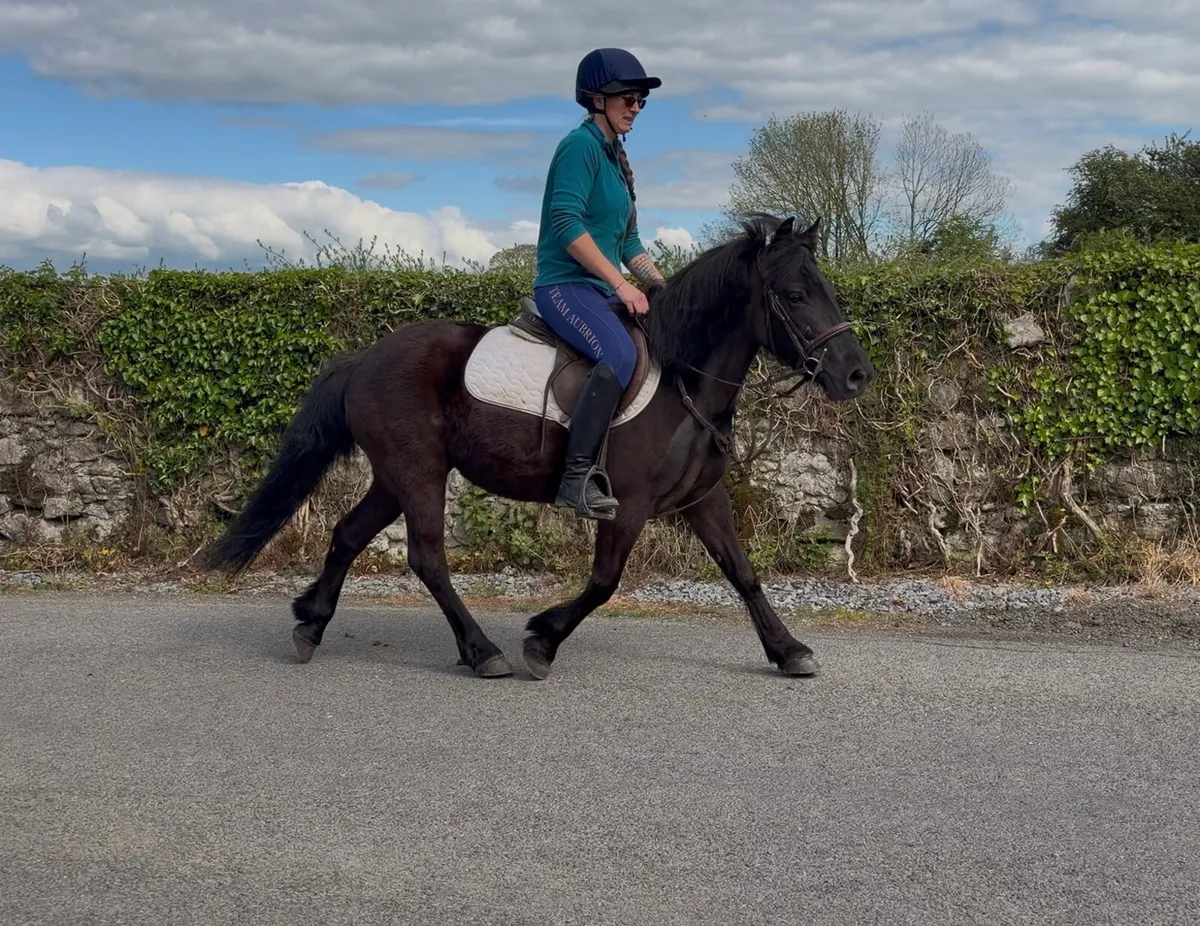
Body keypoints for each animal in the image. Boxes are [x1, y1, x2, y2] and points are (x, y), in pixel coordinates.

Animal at [197, 213, 875, 680]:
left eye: (826, 288)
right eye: (795, 295)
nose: (856, 375)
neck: (683, 382)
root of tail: (364, 358)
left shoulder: (703, 500)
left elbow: (744, 574)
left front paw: (788, 650)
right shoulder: (626, 506)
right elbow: (603, 582)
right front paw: (542, 638)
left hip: (393, 476)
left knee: (347, 535)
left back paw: (311, 623)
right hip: (419, 473)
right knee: (427, 557)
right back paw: (482, 651)